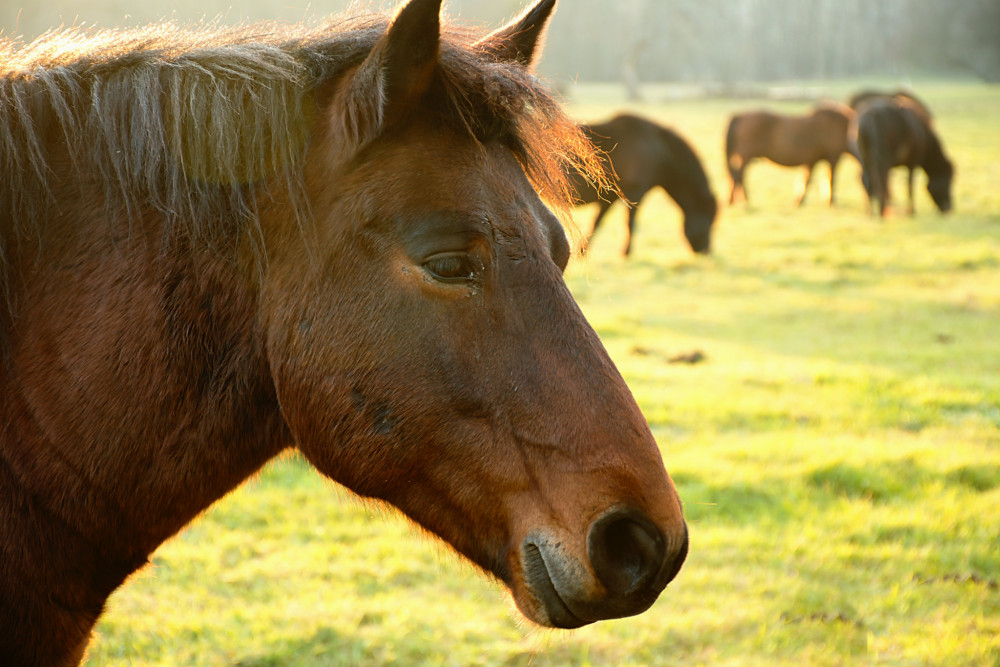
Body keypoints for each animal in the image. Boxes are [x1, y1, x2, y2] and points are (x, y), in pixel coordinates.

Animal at [564, 115, 720, 256]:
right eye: (710, 222)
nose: (706, 251)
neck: (656, 150)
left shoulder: (609, 197)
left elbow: (597, 222)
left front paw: (581, 251)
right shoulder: (635, 192)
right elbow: (629, 223)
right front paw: (626, 253)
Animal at [724, 104, 856, 207]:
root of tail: (740, 116)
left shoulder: (811, 161)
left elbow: (806, 179)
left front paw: (798, 201)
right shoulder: (833, 157)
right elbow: (830, 180)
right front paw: (830, 202)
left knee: (737, 176)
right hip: (744, 157)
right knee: (738, 176)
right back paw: (741, 200)